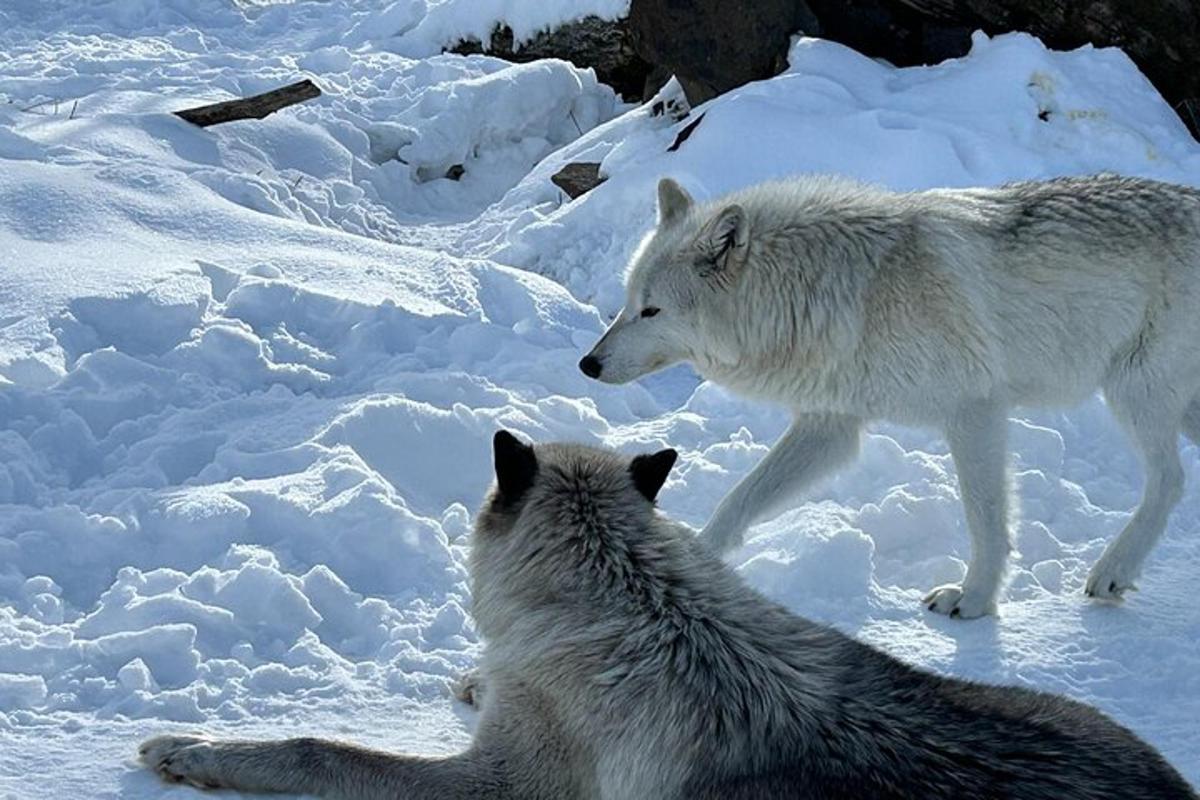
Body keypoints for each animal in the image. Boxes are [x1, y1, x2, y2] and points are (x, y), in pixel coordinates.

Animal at [580, 172, 1200, 618]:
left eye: (652, 310)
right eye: (627, 304)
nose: (588, 364)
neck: (839, 293)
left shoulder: (974, 412)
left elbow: (986, 519)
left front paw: (974, 601)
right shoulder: (830, 427)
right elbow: (737, 502)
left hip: (1134, 394)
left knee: (1170, 481)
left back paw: (1112, 570)